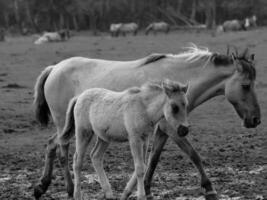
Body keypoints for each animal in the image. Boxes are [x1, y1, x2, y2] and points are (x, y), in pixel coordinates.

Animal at [59, 79, 189, 200]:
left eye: (186, 105)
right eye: (174, 107)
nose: (184, 130)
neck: (144, 108)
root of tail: (79, 96)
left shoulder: (145, 139)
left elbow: (143, 165)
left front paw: (125, 193)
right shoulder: (134, 139)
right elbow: (140, 168)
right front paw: (141, 196)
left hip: (104, 137)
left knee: (95, 156)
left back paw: (109, 193)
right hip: (83, 132)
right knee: (77, 161)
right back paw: (77, 195)